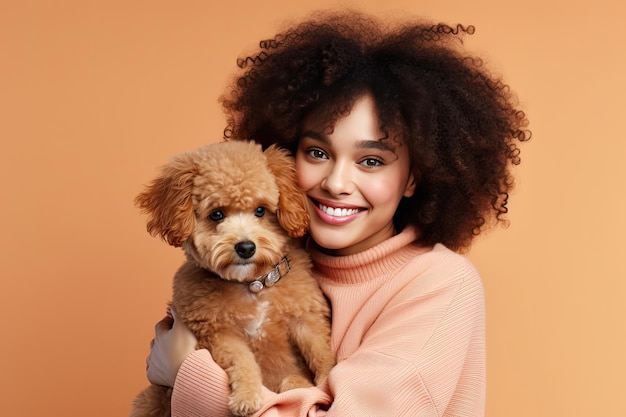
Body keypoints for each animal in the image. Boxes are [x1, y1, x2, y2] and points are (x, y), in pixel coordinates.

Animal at [129, 141, 334, 416]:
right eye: (217, 214)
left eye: (260, 210)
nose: (246, 247)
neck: (252, 284)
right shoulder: (219, 333)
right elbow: (242, 360)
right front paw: (246, 396)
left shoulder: (305, 317)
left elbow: (320, 351)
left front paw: (326, 382)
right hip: (151, 399)